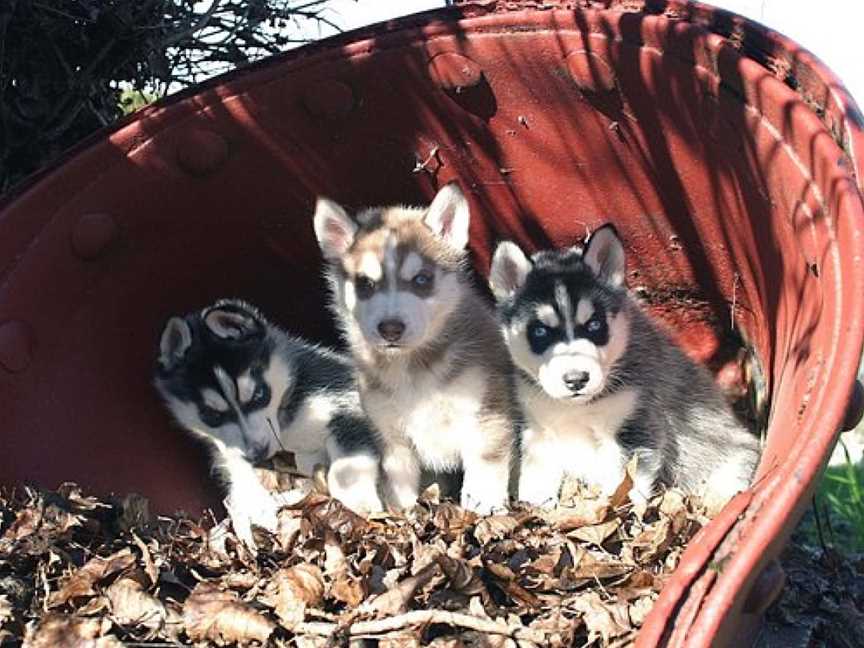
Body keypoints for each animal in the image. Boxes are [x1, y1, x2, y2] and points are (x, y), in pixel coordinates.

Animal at [154, 298, 384, 540]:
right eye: (212, 415)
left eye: (259, 394)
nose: (258, 454)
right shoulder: (231, 453)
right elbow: (243, 474)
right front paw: (259, 507)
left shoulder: (345, 402)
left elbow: (347, 466)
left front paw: (358, 499)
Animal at [312, 184, 516, 516]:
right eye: (365, 284)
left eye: (422, 279)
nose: (390, 328)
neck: (412, 369)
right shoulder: (391, 434)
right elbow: (400, 485)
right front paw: (403, 517)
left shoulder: (486, 413)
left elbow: (485, 468)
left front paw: (483, 507)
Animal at [490, 225, 760, 508]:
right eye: (540, 331)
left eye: (595, 325)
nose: (576, 379)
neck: (577, 408)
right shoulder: (538, 429)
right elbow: (536, 478)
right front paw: (534, 508)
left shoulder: (634, 426)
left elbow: (624, 485)